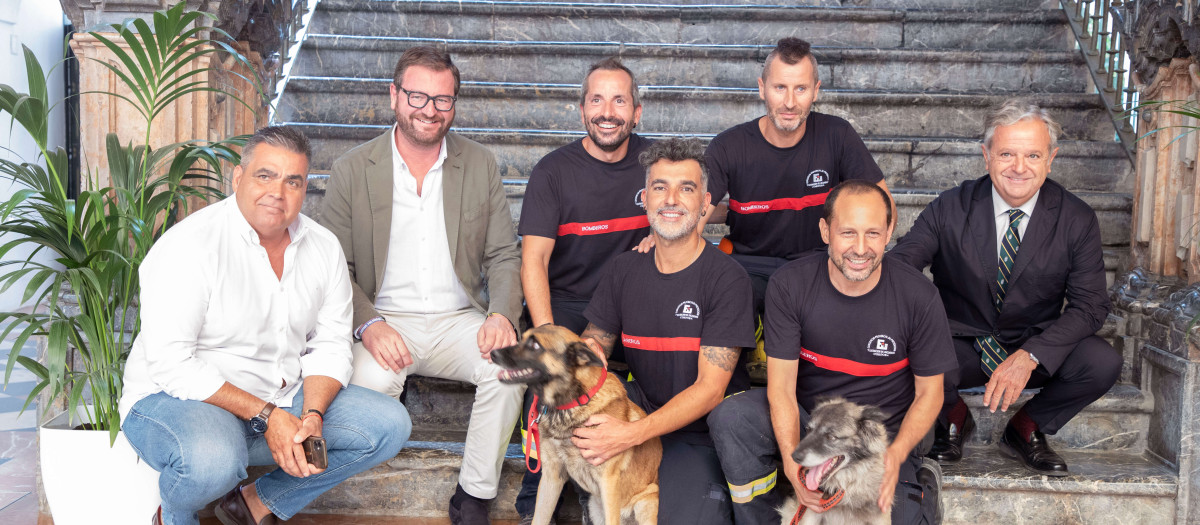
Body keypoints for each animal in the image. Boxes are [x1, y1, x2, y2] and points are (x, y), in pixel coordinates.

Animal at [492, 323, 662, 525]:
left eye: (535, 345)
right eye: (522, 338)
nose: (492, 353)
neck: (571, 404)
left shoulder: (609, 482)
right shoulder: (551, 476)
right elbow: (539, 518)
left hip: (647, 501)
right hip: (595, 508)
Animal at [777, 397, 892, 525]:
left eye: (831, 437)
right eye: (808, 430)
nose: (794, 456)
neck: (848, 484)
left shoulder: (880, 518)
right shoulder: (811, 514)